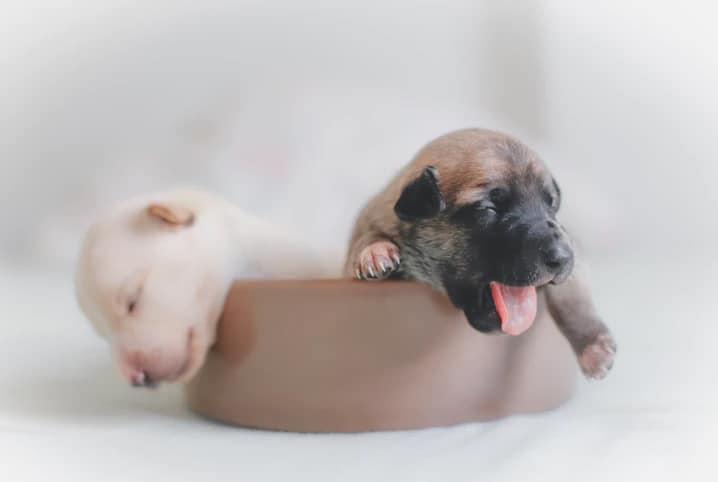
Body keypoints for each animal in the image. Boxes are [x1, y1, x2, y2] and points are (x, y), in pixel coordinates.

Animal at [346, 128, 616, 380]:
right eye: (489, 208)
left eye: (551, 205)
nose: (563, 258)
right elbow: (363, 240)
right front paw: (374, 251)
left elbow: (572, 298)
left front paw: (593, 345)